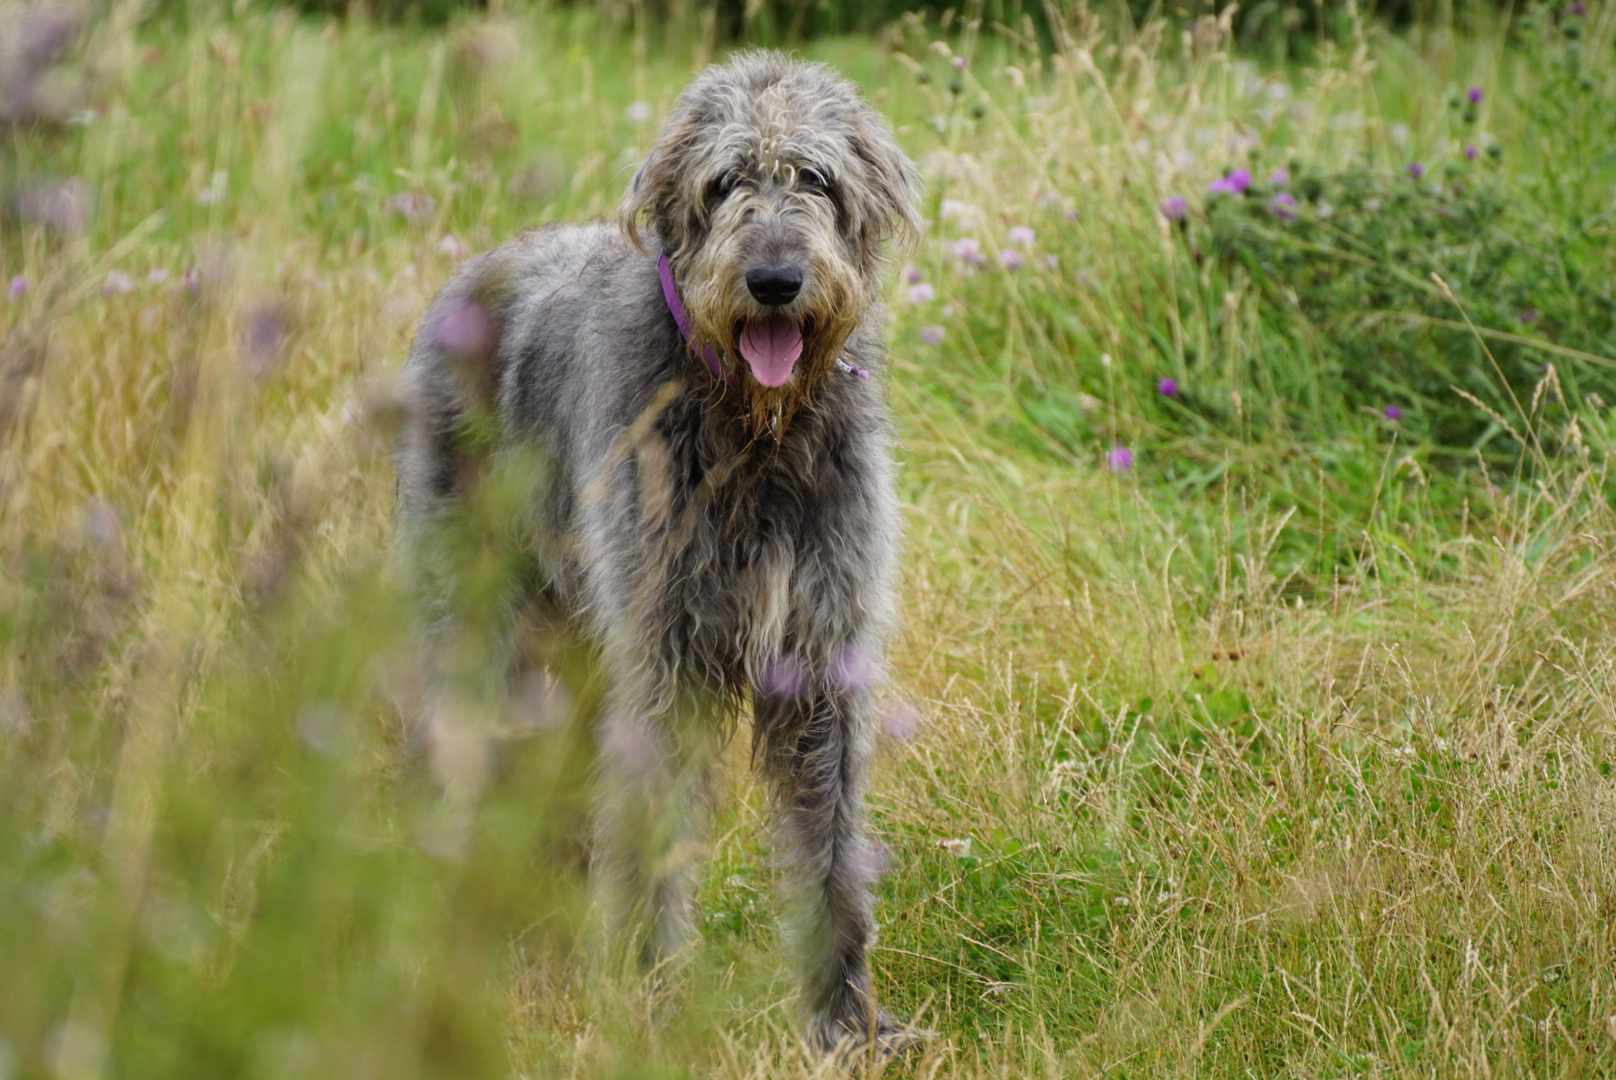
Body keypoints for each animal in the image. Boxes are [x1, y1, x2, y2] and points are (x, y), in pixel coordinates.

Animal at [392, 50, 924, 1054]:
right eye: (724, 184)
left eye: (815, 178)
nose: (774, 279)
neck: (756, 433)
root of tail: (469, 275)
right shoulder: (665, 659)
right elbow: (649, 831)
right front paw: (648, 1003)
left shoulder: (820, 656)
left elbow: (832, 849)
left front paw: (845, 1021)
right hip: (474, 619)